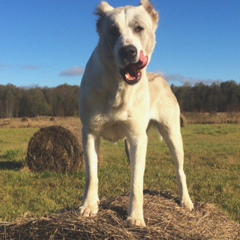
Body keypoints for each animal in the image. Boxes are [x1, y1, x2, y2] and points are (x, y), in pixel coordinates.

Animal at [79, 0, 193, 226]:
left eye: (139, 28)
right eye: (113, 31)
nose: (129, 51)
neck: (118, 87)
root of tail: (161, 77)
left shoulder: (137, 138)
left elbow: (135, 181)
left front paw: (135, 216)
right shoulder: (90, 133)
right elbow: (91, 174)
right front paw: (89, 206)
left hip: (173, 134)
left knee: (179, 170)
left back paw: (185, 201)